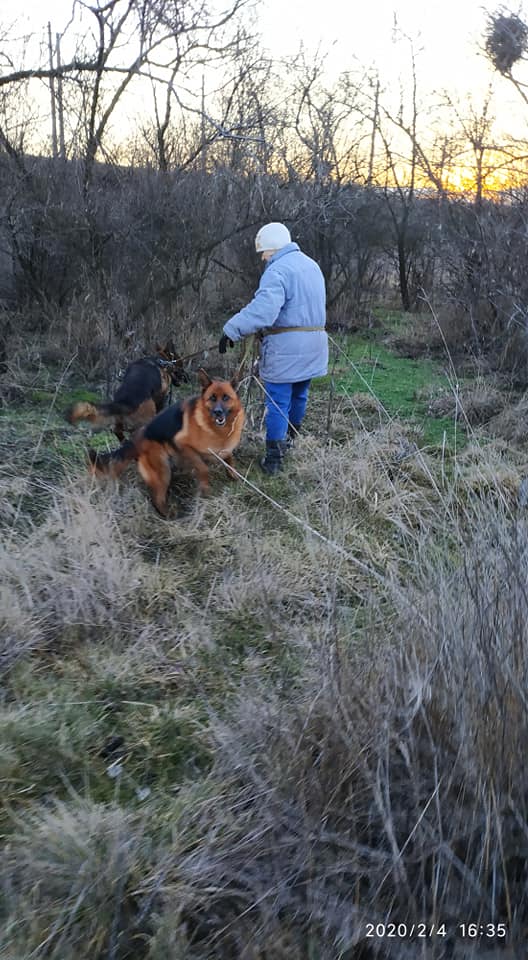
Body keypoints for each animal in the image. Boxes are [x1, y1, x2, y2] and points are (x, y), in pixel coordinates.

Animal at [88, 370, 245, 516]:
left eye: (226, 397)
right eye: (212, 398)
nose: (218, 412)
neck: (215, 428)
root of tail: (136, 440)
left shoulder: (223, 449)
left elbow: (229, 458)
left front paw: (233, 475)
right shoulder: (183, 445)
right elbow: (203, 468)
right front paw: (205, 490)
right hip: (162, 472)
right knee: (157, 499)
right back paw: (170, 516)